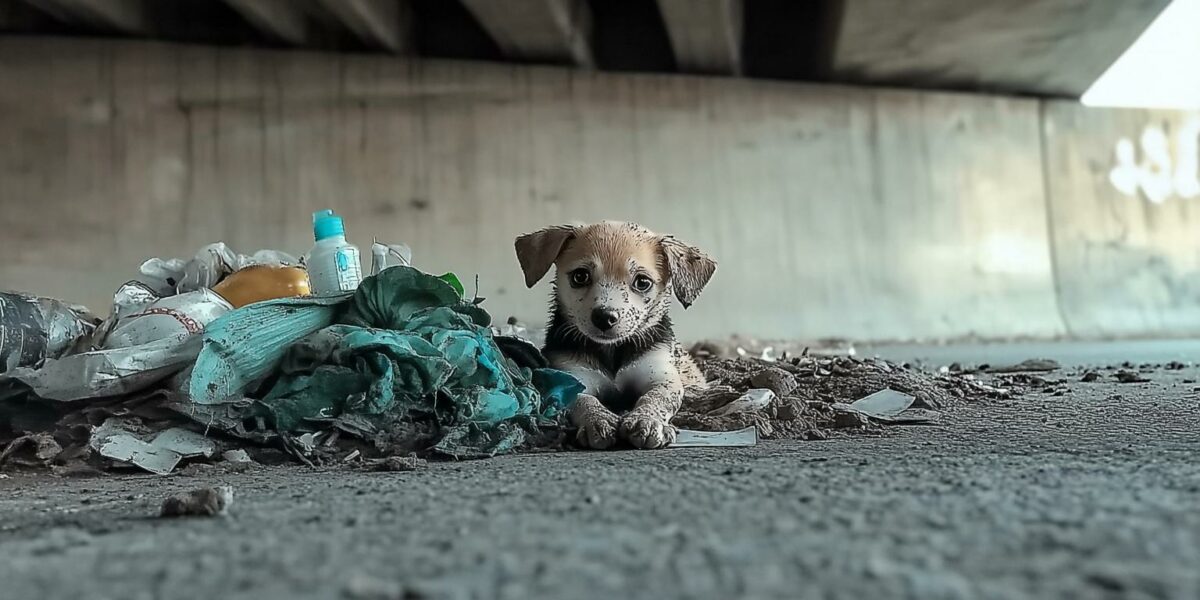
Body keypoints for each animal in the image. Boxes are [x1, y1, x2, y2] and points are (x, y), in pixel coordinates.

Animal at [513, 223, 715, 448]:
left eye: (642, 282)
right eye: (580, 276)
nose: (604, 318)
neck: (613, 351)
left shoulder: (661, 376)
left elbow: (656, 398)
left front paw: (647, 421)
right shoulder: (573, 378)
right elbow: (584, 401)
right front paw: (598, 421)